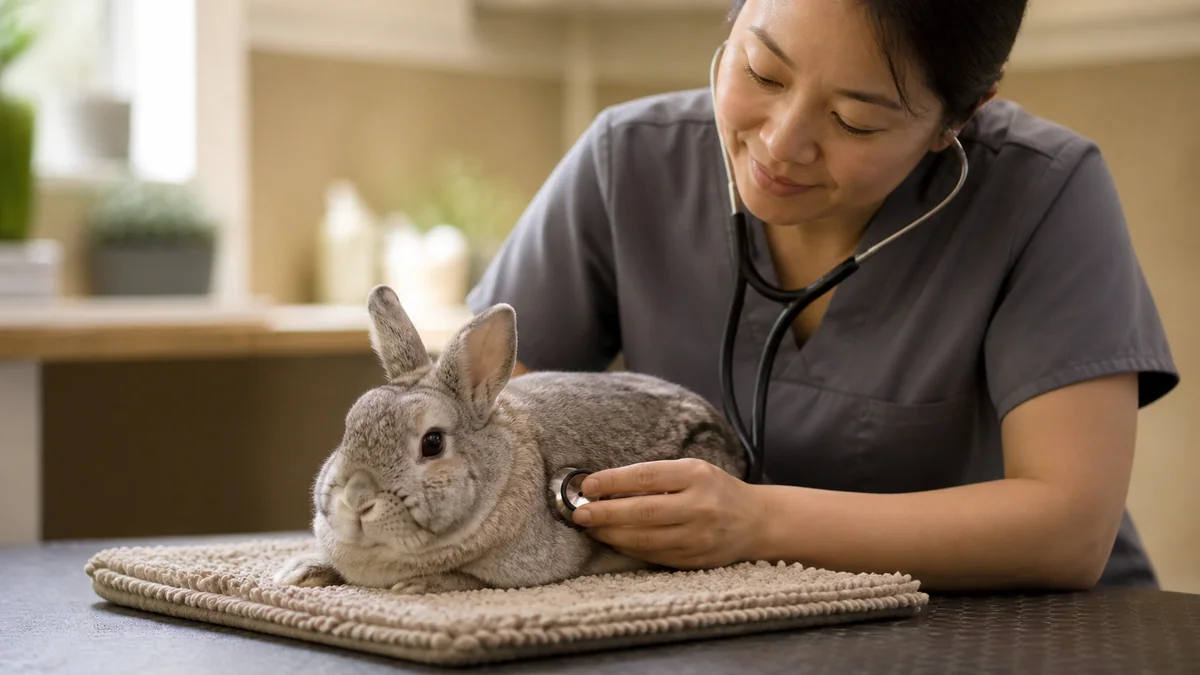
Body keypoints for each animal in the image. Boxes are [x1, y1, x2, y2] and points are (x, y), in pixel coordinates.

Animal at [273, 284, 747, 594]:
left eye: (432, 443)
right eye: (349, 425)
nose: (357, 500)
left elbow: (468, 579)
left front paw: (418, 585)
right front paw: (298, 572)